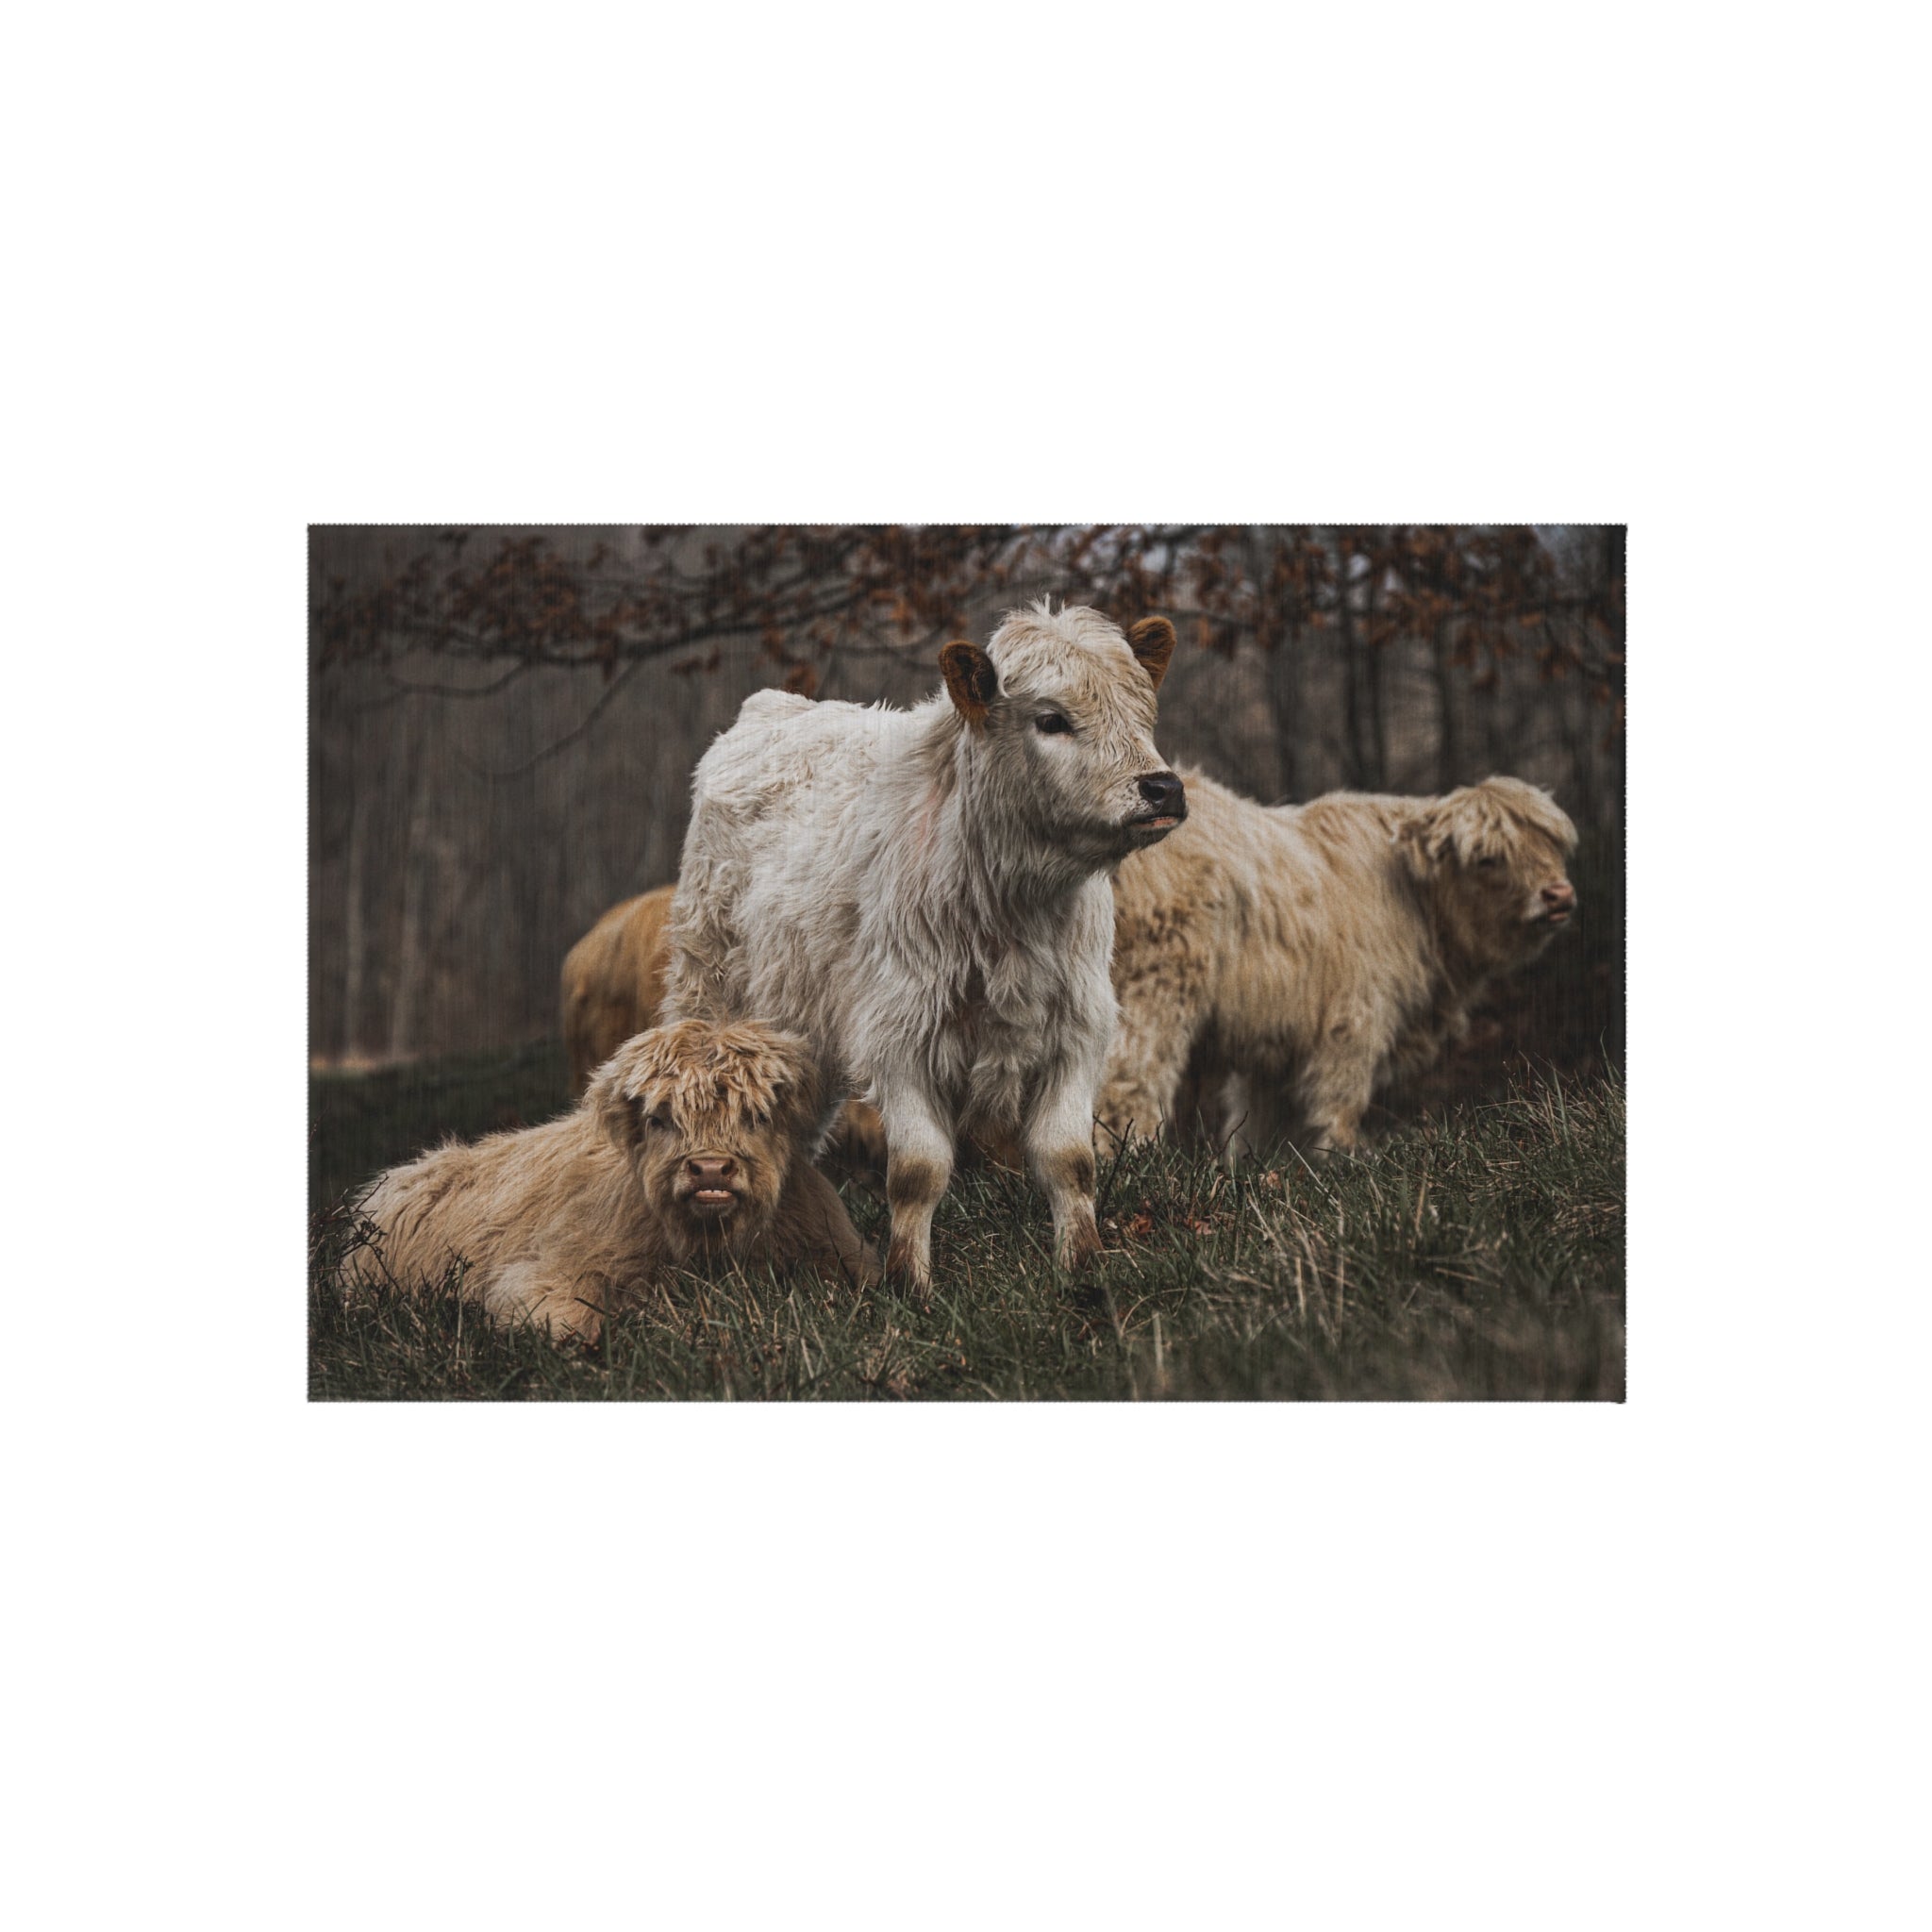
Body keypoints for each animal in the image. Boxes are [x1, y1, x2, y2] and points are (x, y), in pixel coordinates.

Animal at [339, 1020, 879, 1341]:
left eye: (759, 1115)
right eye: (659, 1119)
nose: (709, 1170)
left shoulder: (842, 1255)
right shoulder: (551, 1270)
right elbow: (566, 1317)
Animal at [663, 599, 1185, 1294]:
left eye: (1143, 713)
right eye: (1052, 719)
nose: (1162, 789)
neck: (1011, 910)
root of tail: (772, 706)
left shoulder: (1077, 1028)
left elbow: (1069, 1160)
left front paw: (1083, 1272)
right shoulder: (902, 1034)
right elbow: (917, 1172)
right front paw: (909, 1285)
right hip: (709, 984)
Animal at [1098, 771, 1579, 1158]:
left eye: (1551, 847)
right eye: (1487, 859)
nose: (1558, 895)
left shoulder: (1279, 1043)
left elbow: (1265, 1125)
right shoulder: (1354, 1019)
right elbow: (1337, 1101)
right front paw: (1341, 1159)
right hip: (1155, 989)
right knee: (1126, 1084)